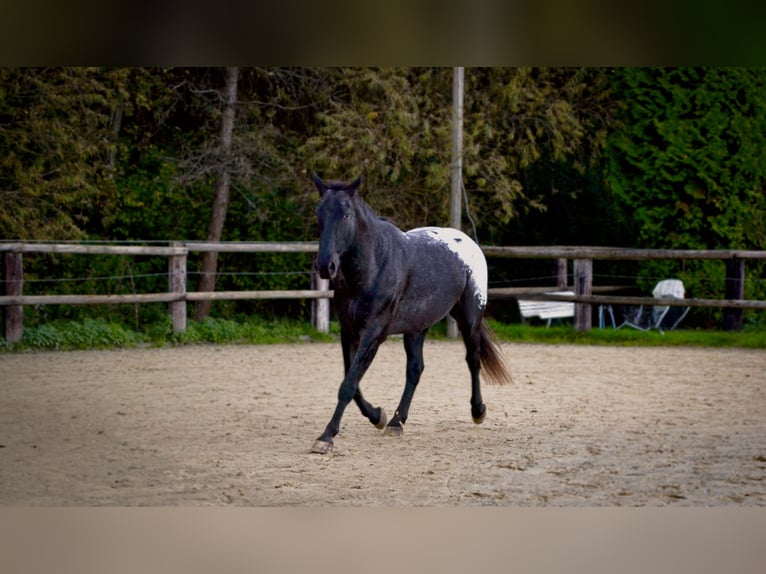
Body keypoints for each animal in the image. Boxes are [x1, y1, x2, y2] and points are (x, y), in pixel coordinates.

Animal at [308, 173, 512, 456]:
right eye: (319, 213)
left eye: (346, 214)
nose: (325, 266)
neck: (374, 265)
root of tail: (468, 243)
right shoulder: (348, 332)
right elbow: (353, 382)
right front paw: (378, 416)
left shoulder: (373, 333)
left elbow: (348, 384)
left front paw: (326, 437)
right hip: (417, 328)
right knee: (415, 369)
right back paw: (396, 422)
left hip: (469, 319)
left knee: (473, 359)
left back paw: (478, 410)